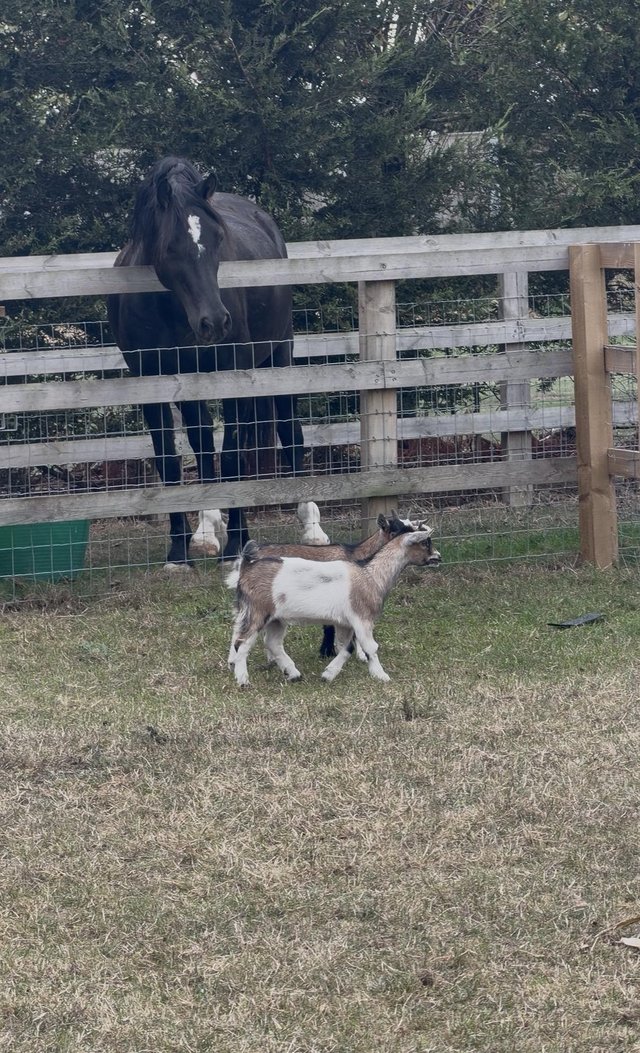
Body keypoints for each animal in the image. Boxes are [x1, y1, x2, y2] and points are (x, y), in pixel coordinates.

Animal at [228, 528, 441, 686]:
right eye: (425, 543)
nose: (438, 557)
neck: (371, 575)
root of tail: (246, 567)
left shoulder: (344, 623)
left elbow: (346, 648)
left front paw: (328, 674)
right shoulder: (362, 618)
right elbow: (370, 647)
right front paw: (381, 675)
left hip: (277, 619)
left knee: (273, 643)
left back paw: (294, 674)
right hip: (258, 611)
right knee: (242, 642)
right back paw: (243, 680)